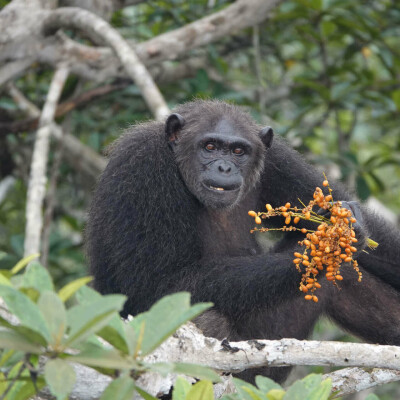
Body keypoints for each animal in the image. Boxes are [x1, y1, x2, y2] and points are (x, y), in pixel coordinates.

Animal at [86, 99, 400, 382]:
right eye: (209, 147)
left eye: (238, 151)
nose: (225, 167)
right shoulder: (140, 167)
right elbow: (157, 283)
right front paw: (315, 249)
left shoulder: (278, 160)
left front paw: (347, 225)